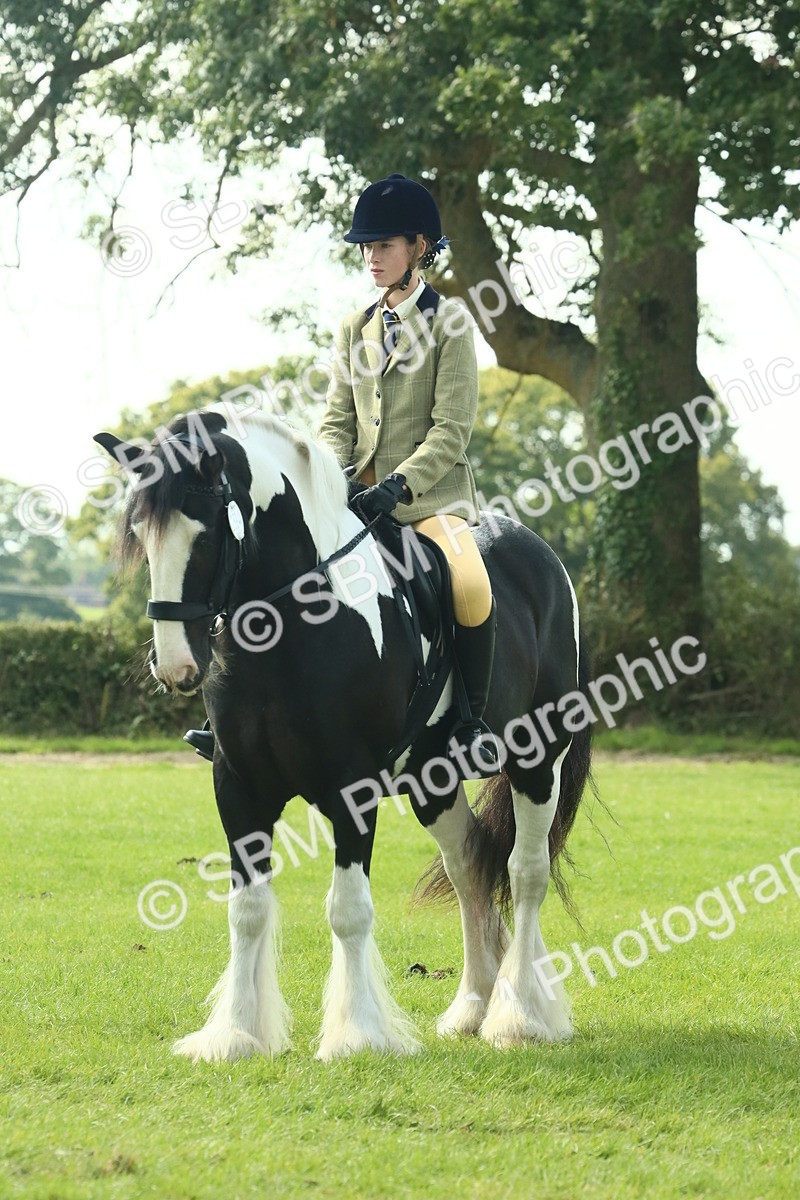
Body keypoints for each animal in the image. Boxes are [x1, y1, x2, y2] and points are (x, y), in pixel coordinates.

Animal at [95, 407, 593, 1062]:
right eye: (142, 536)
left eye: (205, 534)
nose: (176, 666)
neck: (292, 620)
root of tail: (544, 557)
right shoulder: (238, 786)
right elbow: (247, 908)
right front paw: (236, 1034)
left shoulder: (352, 788)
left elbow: (348, 910)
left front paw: (357, 1035)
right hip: (431, 780)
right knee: (468, 866)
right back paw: (472, 1008)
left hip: (537, 759)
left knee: (525, 870)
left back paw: (520, 1017)